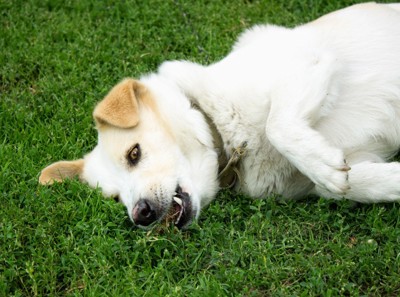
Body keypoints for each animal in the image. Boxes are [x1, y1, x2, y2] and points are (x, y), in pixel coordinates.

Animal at [39, 2, 400, 228]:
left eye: (134, 153)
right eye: (115, 198)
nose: (140, 214)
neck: (221, 132)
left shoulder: (309, 61)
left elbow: (277, 126)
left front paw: (323, 165)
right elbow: (346, 186)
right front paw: (390, 181)